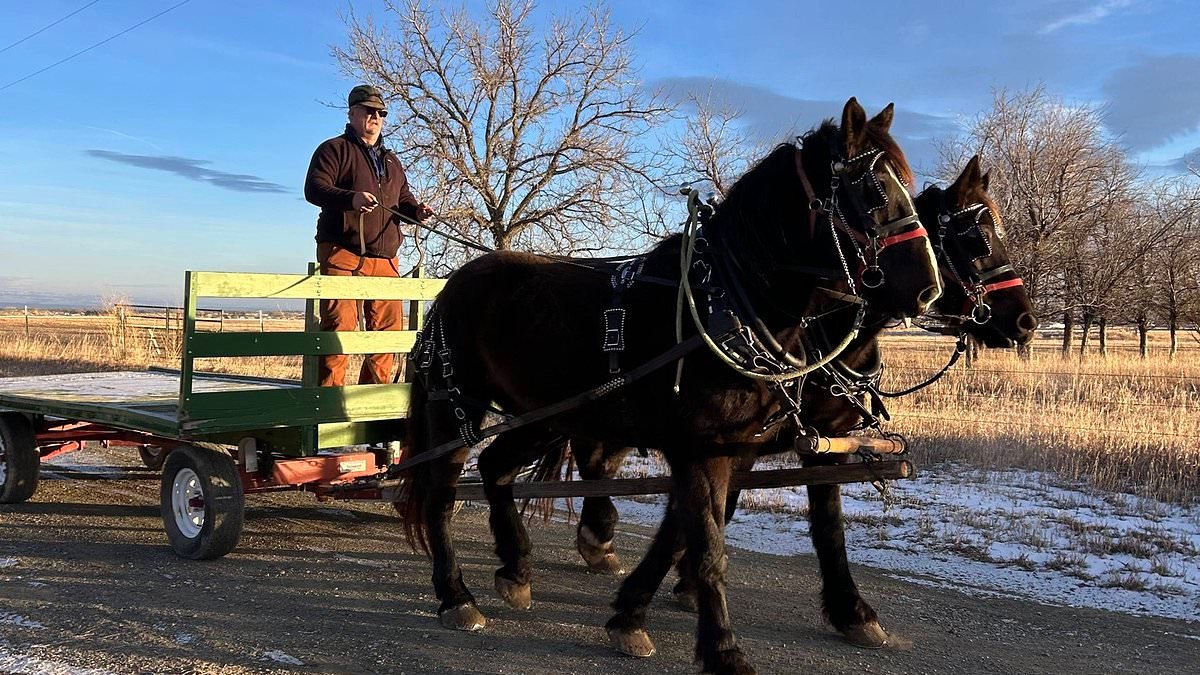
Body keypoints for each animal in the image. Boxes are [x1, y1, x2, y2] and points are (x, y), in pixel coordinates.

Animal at [396, 98, 941, 675]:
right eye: (872, 189)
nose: (928, 289)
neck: (724, 301)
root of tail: (452, 283)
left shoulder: (737, 447)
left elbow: (714, 532)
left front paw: (632, 614)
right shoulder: (700, 449)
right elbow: (708, 547)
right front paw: (722, 649)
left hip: (547, 414)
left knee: (497, 468)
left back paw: (517, 570)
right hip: (456, 405)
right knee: (440, 493)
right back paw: (456, 596)